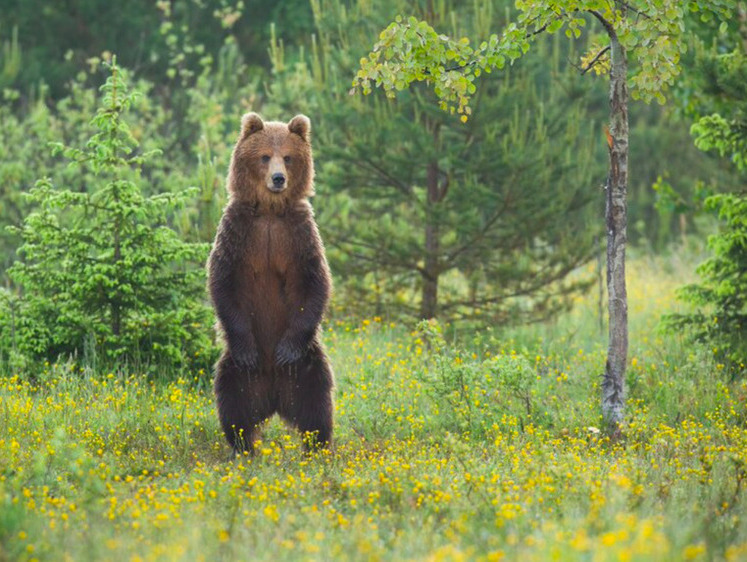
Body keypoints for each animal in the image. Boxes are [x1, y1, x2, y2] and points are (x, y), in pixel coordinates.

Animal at [205, 111, 334, 452]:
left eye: (287, 157)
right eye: (264, 156)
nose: (278, 178)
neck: (270, 212)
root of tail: (275, 398)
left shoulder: (298, 235)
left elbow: (316, 283)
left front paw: (286, 350)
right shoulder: (238, 232)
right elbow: (221, 281)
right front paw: (248, 350)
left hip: (307, 364)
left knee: (318, 402)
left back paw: (317, 446)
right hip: (236, 371)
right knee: (233, 403)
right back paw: (243, 446)